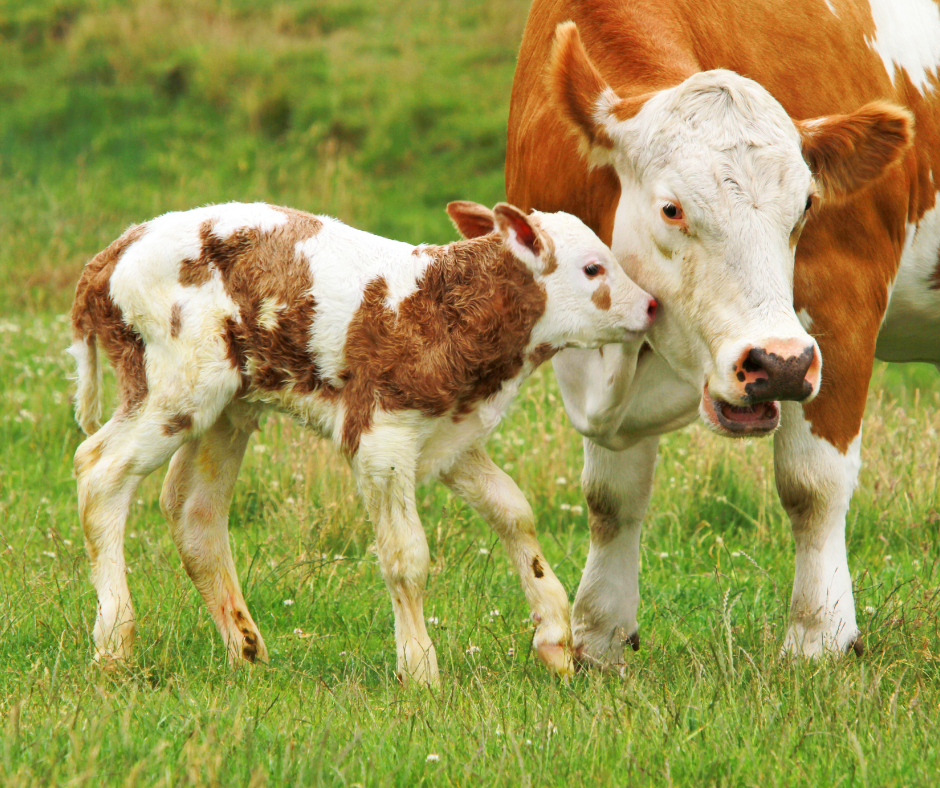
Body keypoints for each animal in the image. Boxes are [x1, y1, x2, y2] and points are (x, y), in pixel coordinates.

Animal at [68, 199, 656, 686]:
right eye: (593, 268)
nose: (652, 306)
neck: (442, 309)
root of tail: (114, 251)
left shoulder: (451, 435)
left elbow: (514, 512)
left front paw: (554, 636)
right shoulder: (382, 438)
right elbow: (406, 556)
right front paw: (419, 670)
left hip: (228, 405)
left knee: (193, 510)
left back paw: (247, 649)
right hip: (176, 384)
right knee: (99, 470)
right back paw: (114, 645)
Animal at [503, 0, 937, 666]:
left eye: (807, 206)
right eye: (672, 209)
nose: (778, 364)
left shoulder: (841, 303)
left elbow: (813, 484)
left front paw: (818, 637)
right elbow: (610, 496)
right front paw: (600, 635)